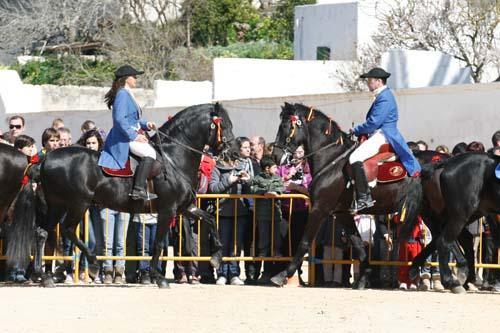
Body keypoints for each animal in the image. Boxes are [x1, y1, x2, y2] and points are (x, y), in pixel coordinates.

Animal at [7, 102, 234, 286]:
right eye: (225, 124)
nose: (232, 153)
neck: (173, 157)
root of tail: (44, 159)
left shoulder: (185, 207)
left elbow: (210, 220)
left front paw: (216, 257)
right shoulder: (167, 210)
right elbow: (158, 243)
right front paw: (158, 277)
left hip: (57, 205)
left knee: (42, 233)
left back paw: (44, 276)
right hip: (77, 204)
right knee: (68, 230)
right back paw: (93, 263)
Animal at [270, 102, 422, 286]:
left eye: (285, 126)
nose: (275, 156)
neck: (331, 160)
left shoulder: (319, 209)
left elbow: (304, 242)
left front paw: (283, 275)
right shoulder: (342, 213)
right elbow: (358, 244)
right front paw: (364, 278)